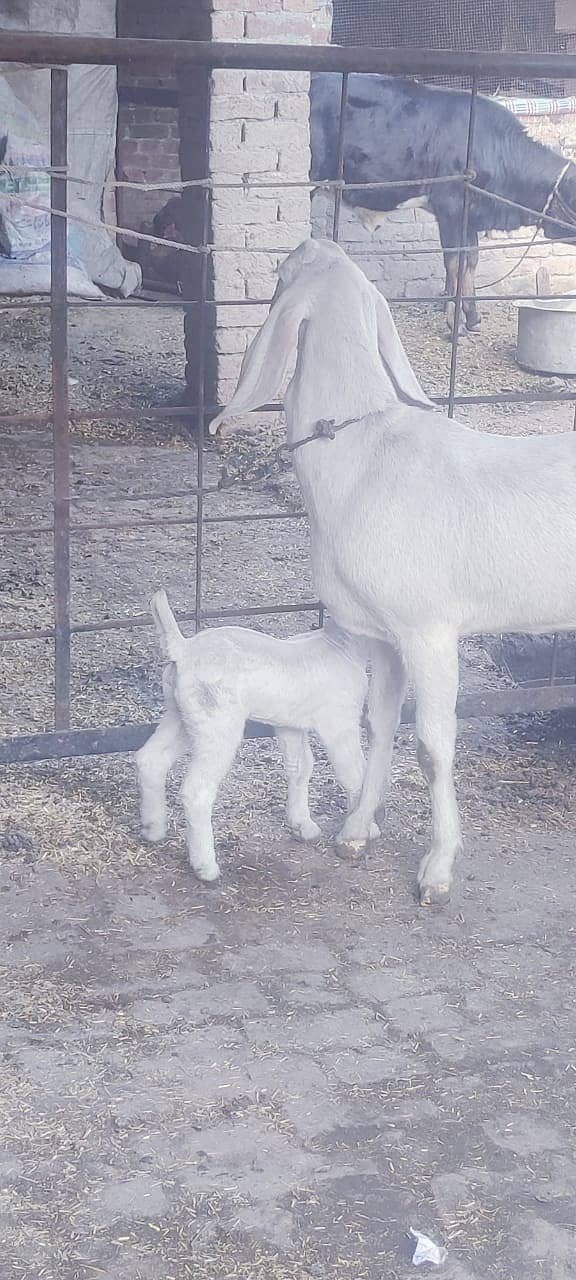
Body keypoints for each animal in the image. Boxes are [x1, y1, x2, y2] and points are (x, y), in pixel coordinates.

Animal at [134, 588, 371, 880]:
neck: (342, 646)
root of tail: (183, 649)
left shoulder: (290, 724)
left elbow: (300, 767)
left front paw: (302, 824)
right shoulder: (339, 721)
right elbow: (353, 772)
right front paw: (363, 830)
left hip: (181, 715)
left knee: (151, 759)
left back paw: (153, 829)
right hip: (217, 723)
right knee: (196, 790)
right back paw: (205, 867)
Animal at [208, 238, 576, 901]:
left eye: (280, 278)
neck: (361, 453)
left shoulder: (429, 630)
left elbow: (431, 746)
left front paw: (437, 868)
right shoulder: (382, 634)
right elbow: (378, 726)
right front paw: (355, 830)